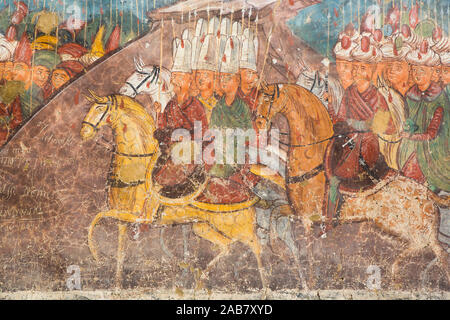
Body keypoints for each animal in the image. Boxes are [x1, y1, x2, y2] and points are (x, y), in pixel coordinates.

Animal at [80, 91, 268, 292]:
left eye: (100, 107)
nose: (84, 132)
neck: (136, 163)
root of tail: (247, 191)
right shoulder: (122, 220)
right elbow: (119, 250)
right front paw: (116, 285)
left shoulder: (137, 217)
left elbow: (95, 220)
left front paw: (95, 254)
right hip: (202, 227)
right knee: (227, 247)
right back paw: (200, 282)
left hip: (238, 227)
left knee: (256, 248)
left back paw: (265, 288)